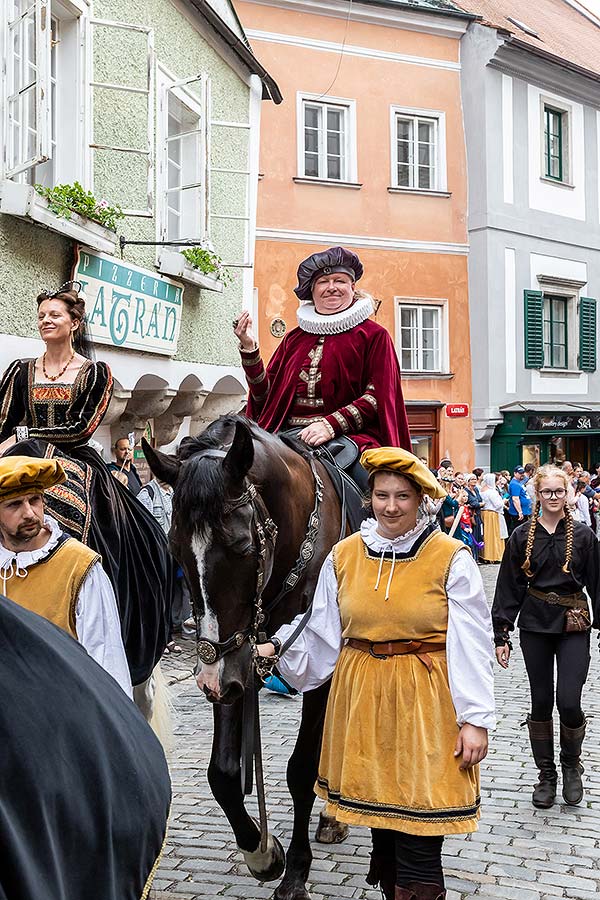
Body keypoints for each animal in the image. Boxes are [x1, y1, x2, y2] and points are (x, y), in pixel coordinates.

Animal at [144, 414, 346, 900]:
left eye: (240, 547)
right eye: (174, 548)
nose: (209, 677)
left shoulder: (319, 664)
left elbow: (302, 769)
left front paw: (296, 872)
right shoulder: (235, 664)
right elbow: (222, 773)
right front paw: (261, 851)